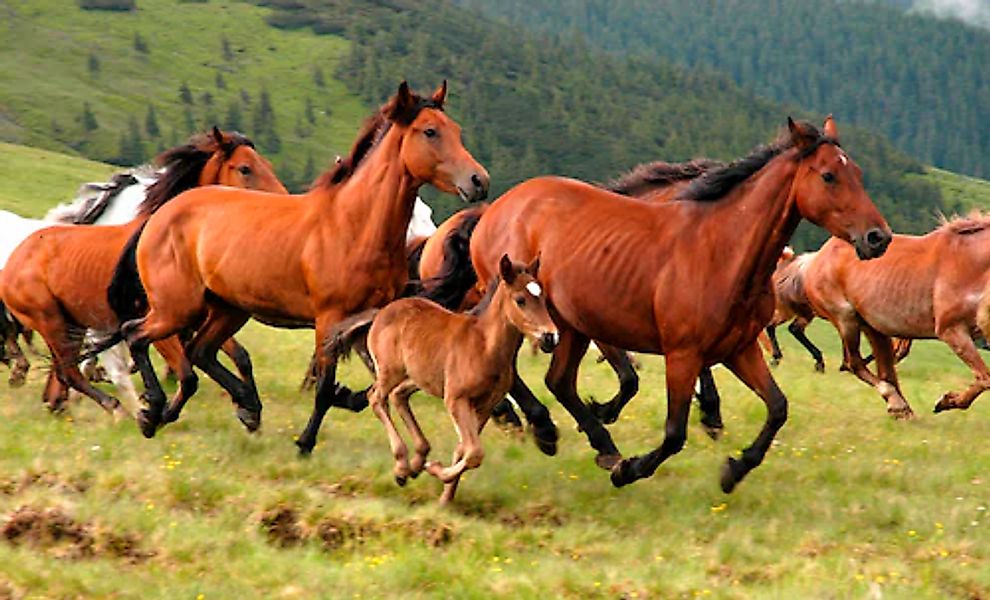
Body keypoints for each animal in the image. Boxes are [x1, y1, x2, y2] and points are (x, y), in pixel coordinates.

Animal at [0, 128, 286, 424]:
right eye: (245, 168)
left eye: (269, 165)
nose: (282, 202)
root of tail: (13, 259)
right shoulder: (159, 321)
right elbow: (186, 373)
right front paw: (154, 409)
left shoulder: (194, 317)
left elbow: (237, 356)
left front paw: (248, 409)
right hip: (50, 320)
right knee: (73, 370)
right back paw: (114, 408)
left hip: (70, 322)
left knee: (66, 368)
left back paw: (60, 401)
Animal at [105, 81, 489, 447]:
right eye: (430, 131)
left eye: (456, 129)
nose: (479, 181)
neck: (354, 226)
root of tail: (160, 216)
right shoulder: (330, 320)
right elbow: (325, 389)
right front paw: (305, 442)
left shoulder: (368, 321)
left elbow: (372, 385)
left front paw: (345, 399)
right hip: (178, 308)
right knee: (137, 335)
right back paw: (154, 411)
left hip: (228, 309)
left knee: (199, 351)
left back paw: (232, 408)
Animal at [330, 255, 557, 504]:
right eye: (520, 300)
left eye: (543, 298)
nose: (550, 337)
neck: (484, 345)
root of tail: (380, 312)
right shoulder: (456, 399)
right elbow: (474, 452)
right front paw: (436, 470)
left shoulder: (485, 405)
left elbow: (464, 449)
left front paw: (445, 498)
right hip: (390, 372)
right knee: (376, 398)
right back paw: (402, 467)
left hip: (420, 377)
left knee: (399, 395)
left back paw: (417, 461)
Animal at [426, 117, 892, 492]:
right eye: (829, 176)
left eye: (858, 173)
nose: (878, 237)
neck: (721, 251)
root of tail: (496, 208)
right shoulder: (682, 354)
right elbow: (673, 432)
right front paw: (630, 470)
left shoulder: (740, 349)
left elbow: (777, 408)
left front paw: (734, 470)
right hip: (527, 316)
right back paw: (548, 430)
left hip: (569, 326)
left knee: (559, 382)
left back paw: (596, 442)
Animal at [803, 214, 990, 417]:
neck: (972, 264)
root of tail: (817, 256)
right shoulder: (951, 330)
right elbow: (985, 378)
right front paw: (946, 401)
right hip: (846, 319)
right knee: (855, 363)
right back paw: (897, 405)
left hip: (873, 328)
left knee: (884, 370)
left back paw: (902, 409)